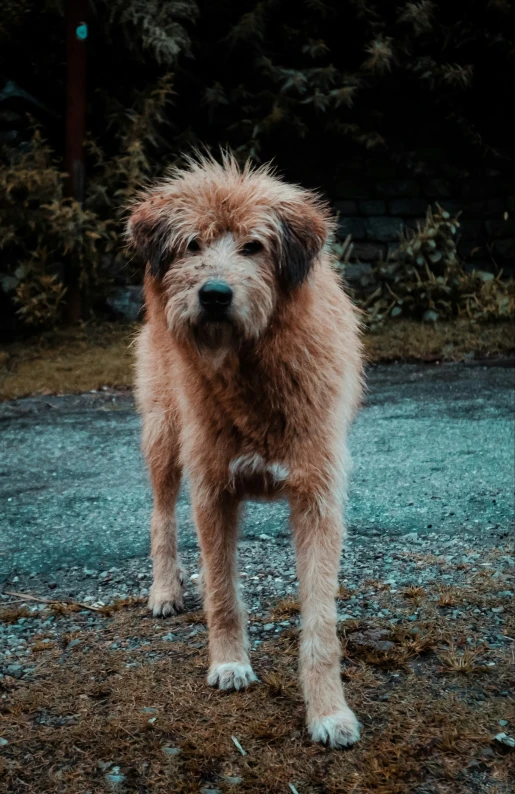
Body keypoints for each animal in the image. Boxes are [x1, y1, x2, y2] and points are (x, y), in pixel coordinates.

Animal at [128, 152, 362, 744]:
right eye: (192, 244)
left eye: (254, 246)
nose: (214, 294)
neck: (250, 368)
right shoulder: (213, 489)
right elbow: (222, 593)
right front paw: (230, 662)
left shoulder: (318, 497)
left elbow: (320, 619)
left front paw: (328, 711)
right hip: (162, 435)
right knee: (161, 514)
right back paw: (165, 589)